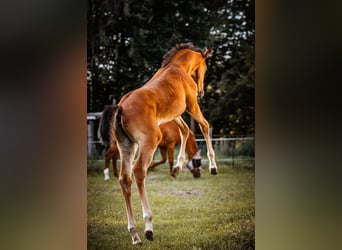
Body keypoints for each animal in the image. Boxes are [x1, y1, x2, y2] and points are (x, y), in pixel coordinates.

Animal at [97, 42, 218, 244]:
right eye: (205, 67)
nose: (201, 91)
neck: (176, 68)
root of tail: (120, 106)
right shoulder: (191, 106)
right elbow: (204, 126)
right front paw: (213, 167)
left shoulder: (175, 113)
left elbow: (186, 131)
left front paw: (177, 168)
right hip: (148, 142)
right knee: (139, 171)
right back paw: (148, 228)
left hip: (127, 146)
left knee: (125, 178)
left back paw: (134, 234)